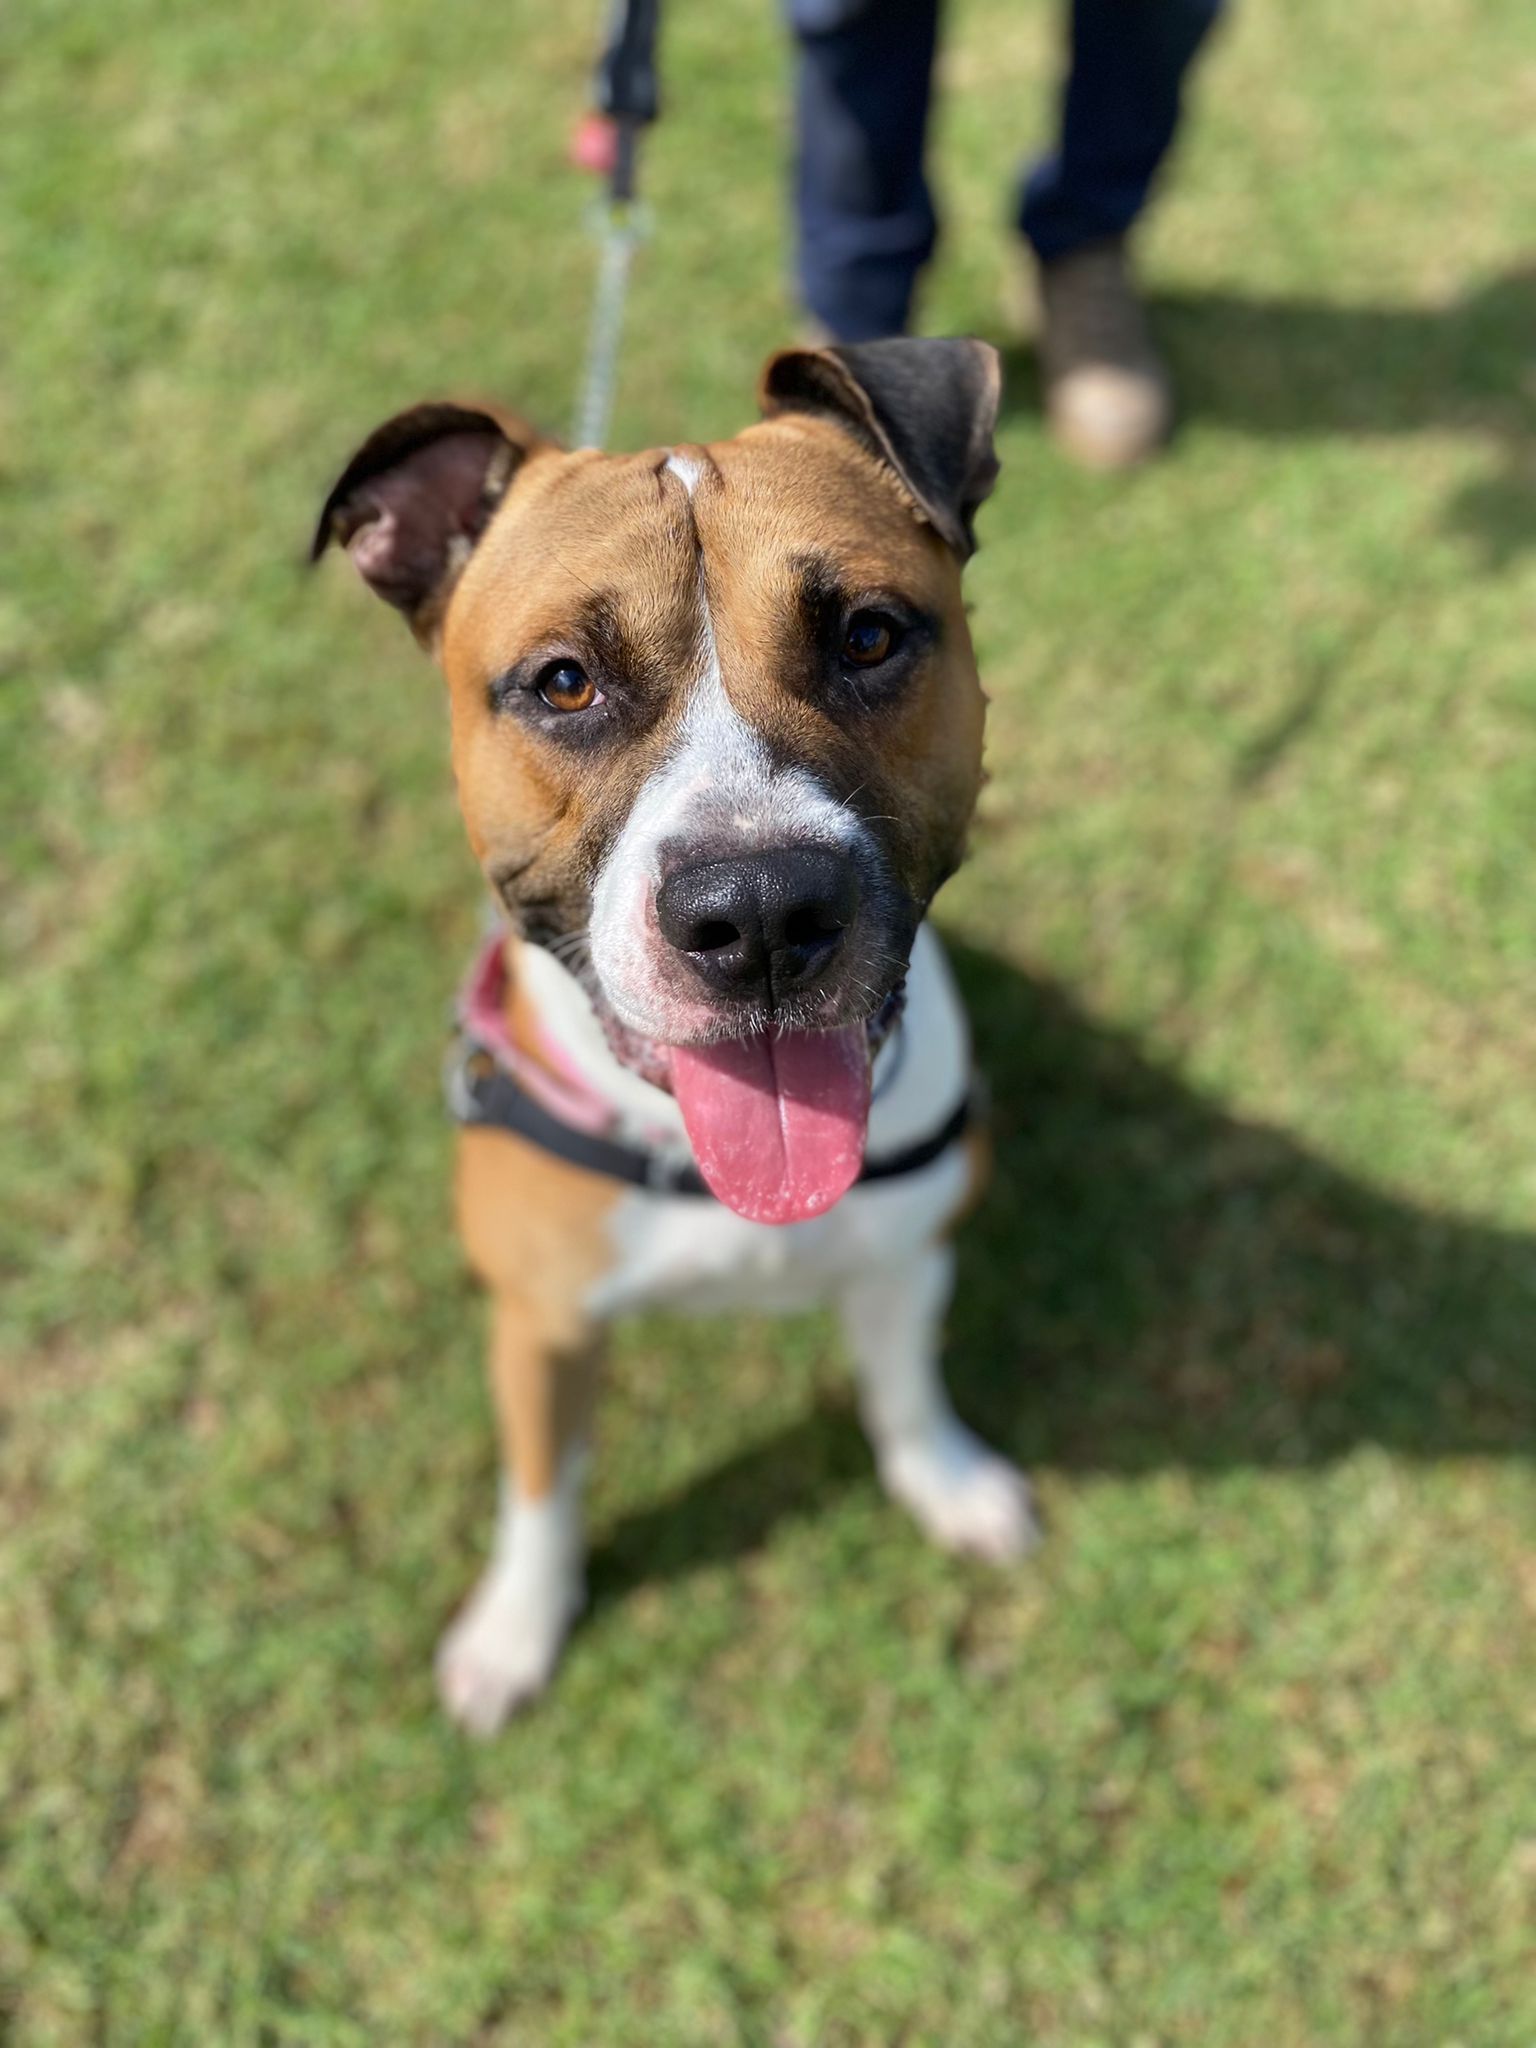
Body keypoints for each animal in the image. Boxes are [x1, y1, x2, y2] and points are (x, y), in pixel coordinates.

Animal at [313, 337, 1035, 1733]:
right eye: (564, 682)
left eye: (869, 634)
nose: (757, 914)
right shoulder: (542, 1324)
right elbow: (542, 1489)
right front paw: (513, 1631)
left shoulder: (909, 1255)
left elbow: (905, 1386)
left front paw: (947, 1479)